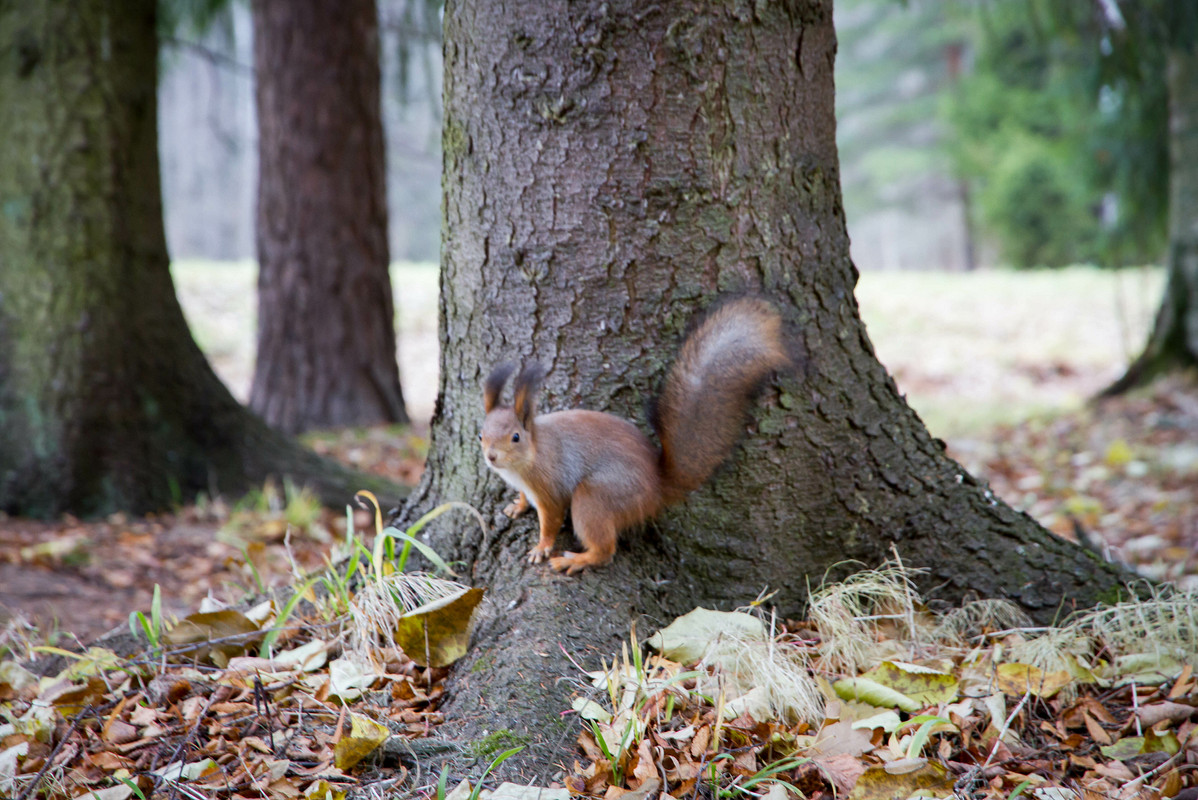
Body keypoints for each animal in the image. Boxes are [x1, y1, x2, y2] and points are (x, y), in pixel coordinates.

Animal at [481, 297, 790, 572]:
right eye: (481, 434)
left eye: (516, 437)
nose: (491, 457)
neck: (527, 459)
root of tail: (657, 487)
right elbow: (523, 497)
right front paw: (517, 505)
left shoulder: (550, 487)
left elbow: (552, 519)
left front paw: (541, 547)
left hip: (597, 498)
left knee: (605, 550)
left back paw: (577, 560)